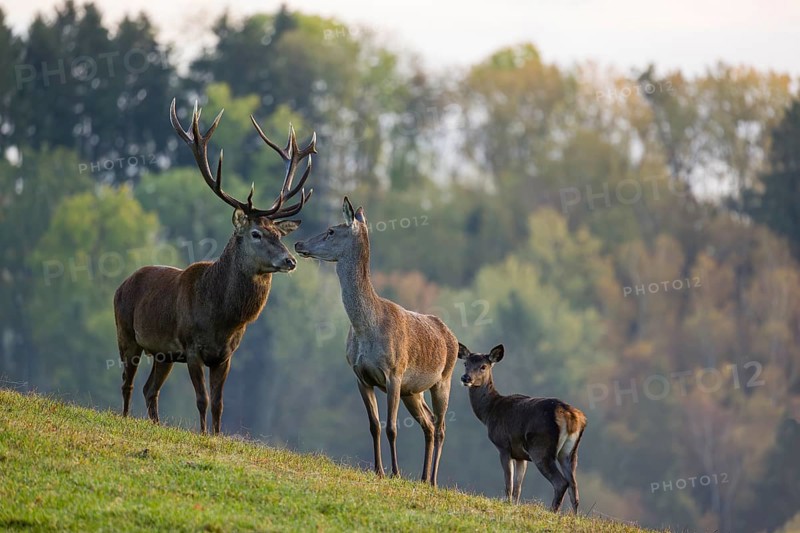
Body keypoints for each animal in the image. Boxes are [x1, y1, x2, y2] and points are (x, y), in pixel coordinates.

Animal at [113, 98, 315, 435]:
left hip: (164, 354)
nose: (290, 260)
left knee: (149, 389)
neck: (222, 318)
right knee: (127, 384)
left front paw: (218, 436)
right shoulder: (192, 347)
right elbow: (202, 400)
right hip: (126, 333)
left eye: (279, 234)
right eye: (256, 234)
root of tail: (122, 283)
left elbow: (219, 403)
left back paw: (155, 423)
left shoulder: (225, 355)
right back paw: (126, 418)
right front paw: (204, 435)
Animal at [294, 197, 458, 486]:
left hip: (443, 380)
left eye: (331, 231)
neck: (366, 329)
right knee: (427, 423)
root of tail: (454, 338)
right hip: (413, 391)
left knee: (440, 427)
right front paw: (378, 470)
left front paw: (396, 472)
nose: (299, 244)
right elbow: (374, 425)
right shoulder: (361, 376)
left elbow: (392, 427)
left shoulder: (394, 373)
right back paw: (423, 477)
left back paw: (434, 480)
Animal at [458, 343, 587, 513]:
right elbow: (518, 487)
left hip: (541, 448)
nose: (466, 378)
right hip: (570, 453)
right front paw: (515, 505)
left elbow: (509, 483)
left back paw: (552, 512)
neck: (490, 412)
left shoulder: (504, 446)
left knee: (561, 482)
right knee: (574, 487)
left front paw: (507, 503)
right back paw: (573, 515)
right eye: (465, 363)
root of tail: (572, 416)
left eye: (483, 366)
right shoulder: (520, 455)